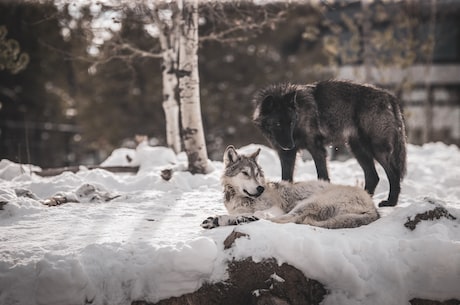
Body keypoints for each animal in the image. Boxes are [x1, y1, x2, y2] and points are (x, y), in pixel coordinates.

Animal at [200, 145, 378, 228]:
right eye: (245, 173)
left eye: (257, 174)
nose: (260, 188)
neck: (241, 199)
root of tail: (373, 208)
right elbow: (242, 213)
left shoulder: (276, 208)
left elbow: (260, 214)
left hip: (306, 203)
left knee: (281, 220)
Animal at [253, 79, 408, 207]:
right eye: (278, 124)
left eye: (290, 122)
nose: (289, 145)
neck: (300, 114)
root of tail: (389, 96)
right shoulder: (286, 155)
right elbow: (286, 179)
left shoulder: (316, 149)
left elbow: (322, 175)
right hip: (358, 149)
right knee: (373, 176)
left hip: (376, 149)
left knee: (394, 174)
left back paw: (391, 202)